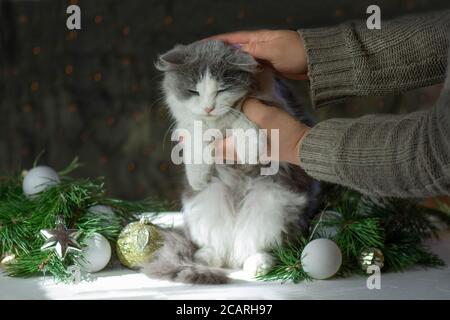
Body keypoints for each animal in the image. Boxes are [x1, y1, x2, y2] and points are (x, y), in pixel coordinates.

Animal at [142, 40, 320, 284]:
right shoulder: (186, 125)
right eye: (193, 91)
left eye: (222, 89)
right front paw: (198, 175)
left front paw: (250, 148)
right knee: (218, 247)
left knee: (260, 247)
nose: (208, 107)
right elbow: (196, 135)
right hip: (206, 203)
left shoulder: (272, 101)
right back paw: (205, 258)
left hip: (274, 207)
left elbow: (243, 117)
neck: (218, 124)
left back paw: (257, 266)